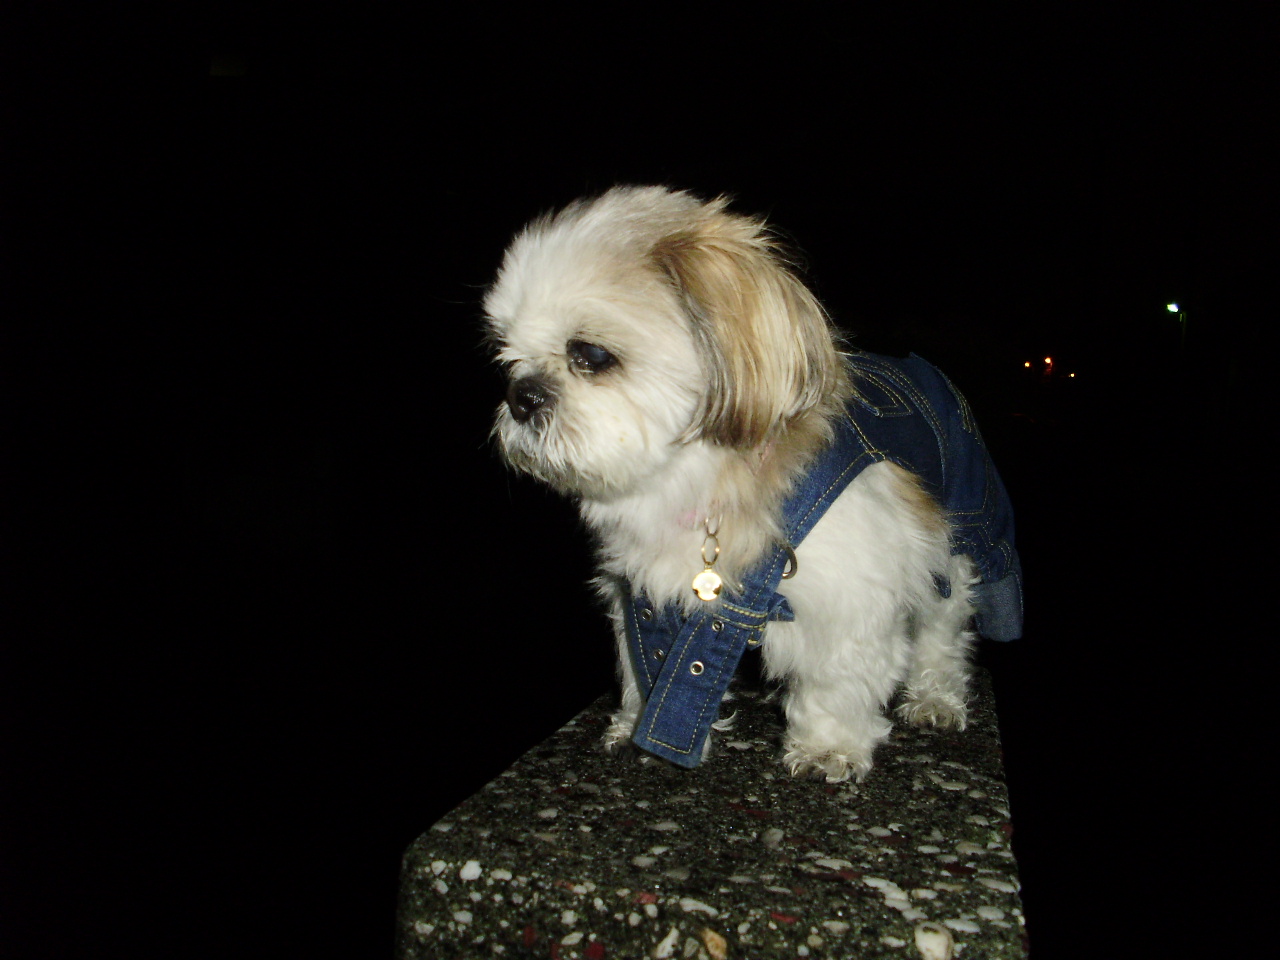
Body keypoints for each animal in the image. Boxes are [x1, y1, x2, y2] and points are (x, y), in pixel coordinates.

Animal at [484, 186, 1021, 782]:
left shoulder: (847, 593)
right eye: (506, 357)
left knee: (942, 629)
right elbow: (649, 664)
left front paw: (828, 747)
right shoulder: (642, 589)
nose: (522, 396)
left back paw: (935, 697)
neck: (692, 483)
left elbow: (836, 679)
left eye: (591, 355)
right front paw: (636, 724)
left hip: (962, 537)